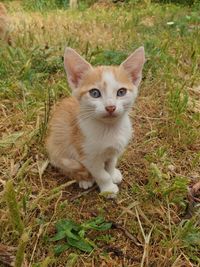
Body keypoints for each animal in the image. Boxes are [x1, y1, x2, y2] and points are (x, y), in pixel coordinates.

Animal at [46, 47, 145, 198]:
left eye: (121, 92)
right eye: (95, 93)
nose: (110, 107)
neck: (109, 129)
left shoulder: (113, 150)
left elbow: (110, 164)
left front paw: (112, 173)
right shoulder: (87, 156)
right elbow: (101, 174)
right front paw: (108, 189)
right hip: (57, 150)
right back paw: (84, 180)